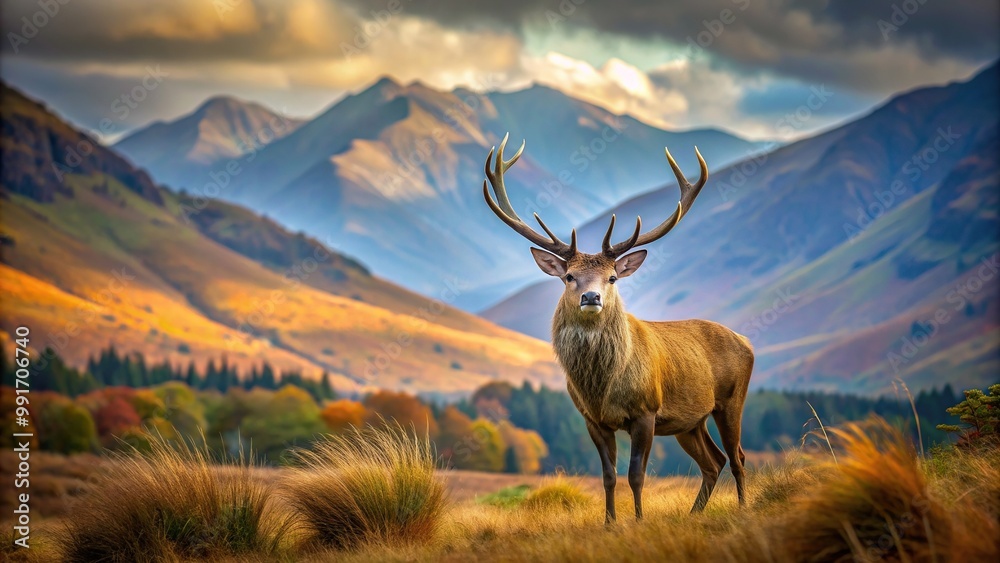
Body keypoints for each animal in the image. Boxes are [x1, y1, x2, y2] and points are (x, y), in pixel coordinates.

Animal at [481, 134, 754, 523]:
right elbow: (608, 476)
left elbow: (636, 474)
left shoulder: (646, 411)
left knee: (737, 457)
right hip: (689, 421)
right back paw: (693, 514)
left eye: (612, 277)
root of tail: (746, 341)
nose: (591, 296)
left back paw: (744, 508)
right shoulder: (592, 420)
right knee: (713, 462)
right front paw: (609, 522)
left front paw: (638, 520)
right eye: (569, 276)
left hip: (731, 400)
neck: (602, 389)